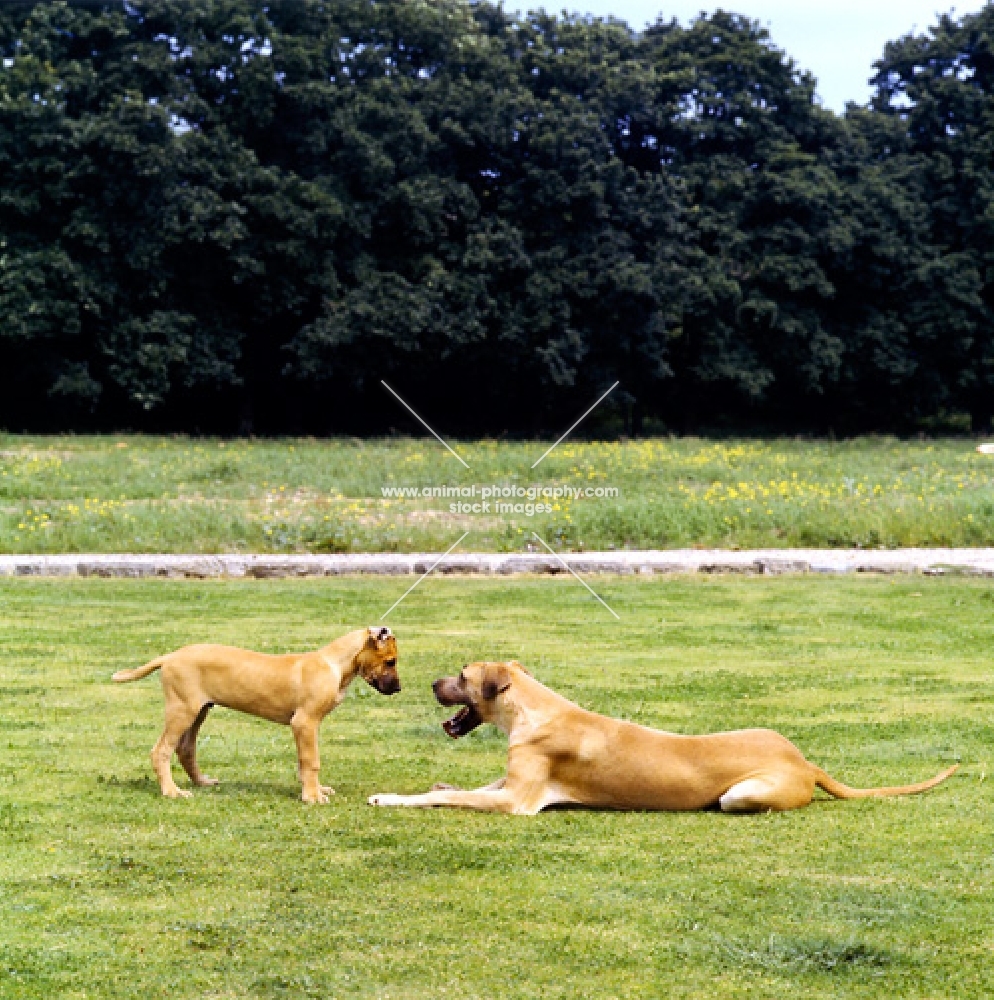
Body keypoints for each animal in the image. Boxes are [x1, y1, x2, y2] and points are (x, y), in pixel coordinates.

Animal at [113, 624, 400, 804]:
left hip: (198, 711)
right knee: (161, 751)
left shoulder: (305, 728)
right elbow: (312, 761)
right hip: (182, 710)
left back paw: (201, 782)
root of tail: (169, 656)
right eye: (391, 661)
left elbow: (304, 762)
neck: (334, 664)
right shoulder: (305, 723)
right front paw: (313, 796)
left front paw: (313, 789)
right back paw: (172, 791)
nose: (398, 688)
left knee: (185, 749)